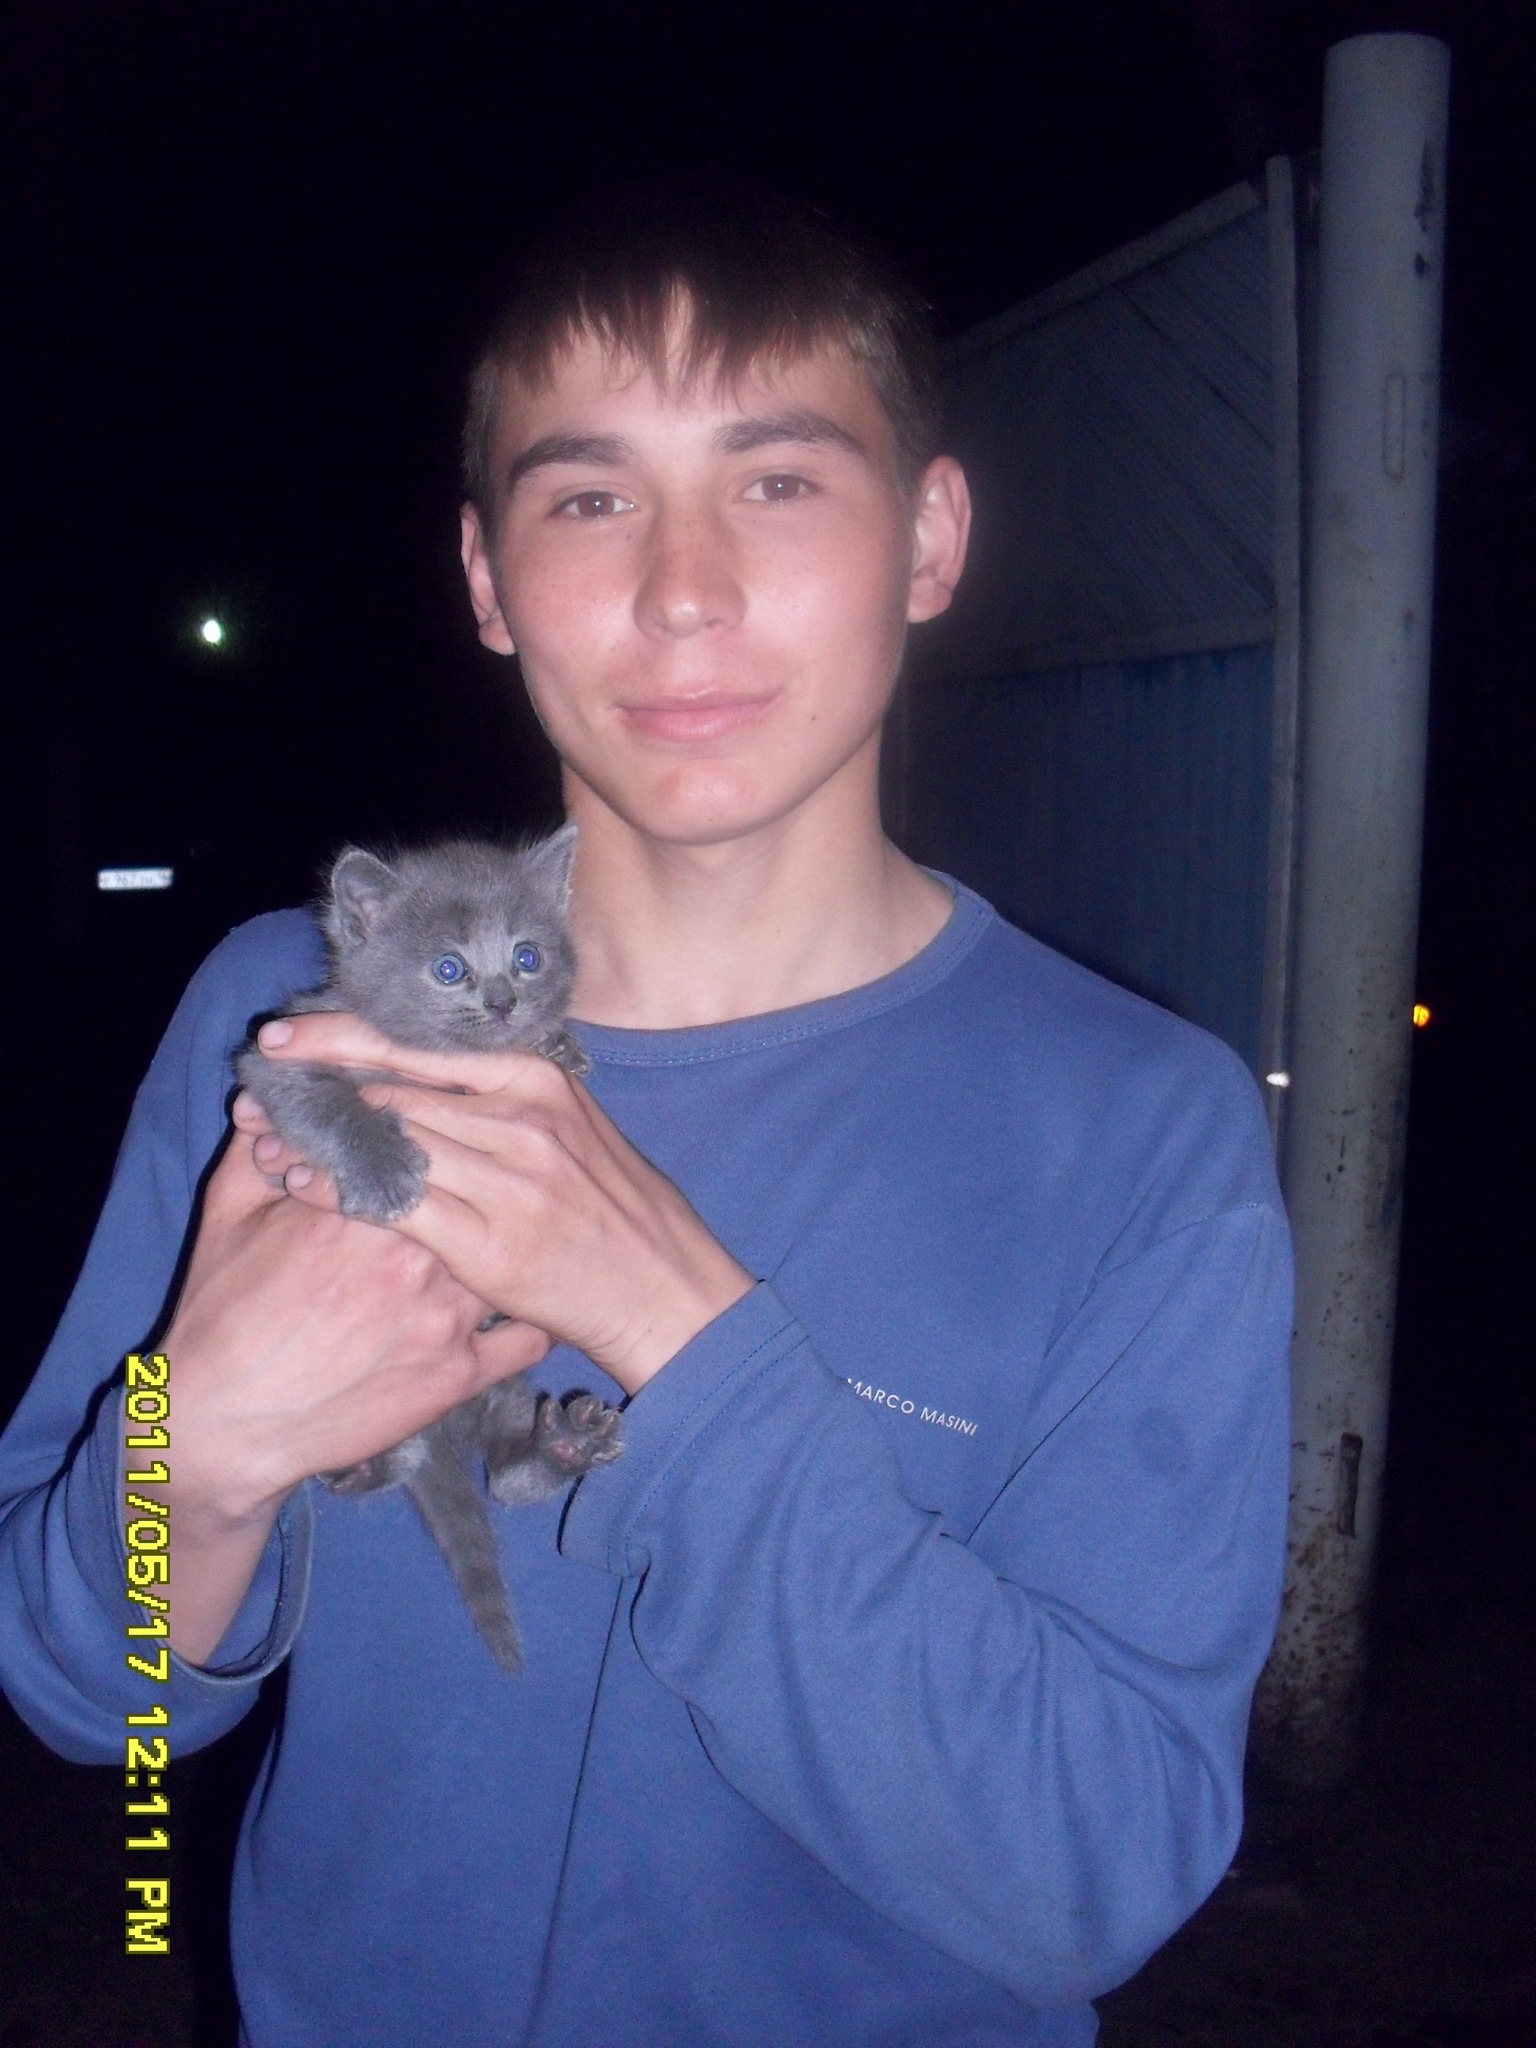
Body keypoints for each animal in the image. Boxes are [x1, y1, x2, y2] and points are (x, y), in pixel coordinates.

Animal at [237, 826, 623, 1672]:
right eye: (449, 969)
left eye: (526, 956)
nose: (505, 1001)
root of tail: (434, 1429)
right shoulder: (274, 1056)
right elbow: (323, 1101)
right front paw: (384, 1170)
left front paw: (557, 1046)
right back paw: (363, 1464)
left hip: (496, 1379)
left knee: (503, 1474)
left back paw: (560, 1447)